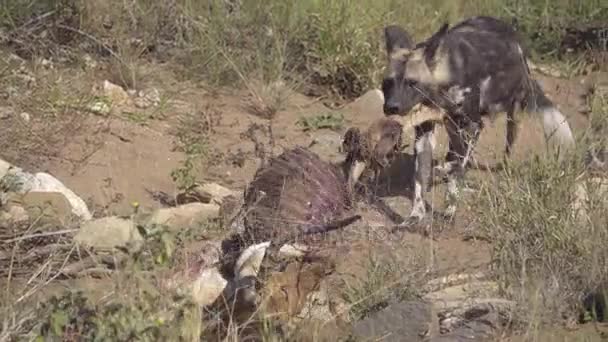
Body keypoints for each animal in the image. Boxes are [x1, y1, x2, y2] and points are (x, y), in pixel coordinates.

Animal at [382, 15, 576, 227]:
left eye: (412, 83)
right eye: (387, 83)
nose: (391, 107)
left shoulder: (473, 126)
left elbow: (456, 168)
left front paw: (449, 207)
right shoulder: (425, 134)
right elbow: (421, 178)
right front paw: (415, 215)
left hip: (511, 117)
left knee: (503, 149)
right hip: (454, 128)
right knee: (454, 154)